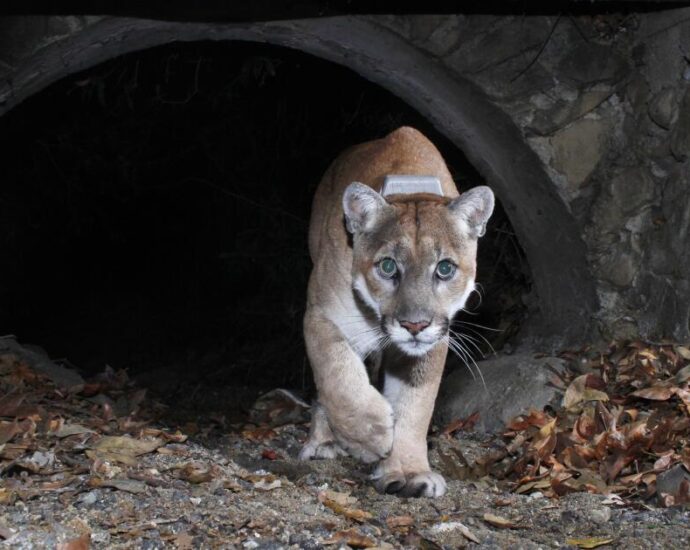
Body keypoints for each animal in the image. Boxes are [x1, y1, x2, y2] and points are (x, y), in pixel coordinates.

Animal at [298, 128, 492, 500]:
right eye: (388, 267)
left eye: (444, 269)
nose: (414, 324)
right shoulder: (321, 316)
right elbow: (338, 374)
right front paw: (370, 435)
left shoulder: (434, 340)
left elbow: (415, 404)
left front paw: (408, 471)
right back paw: (324, 441)